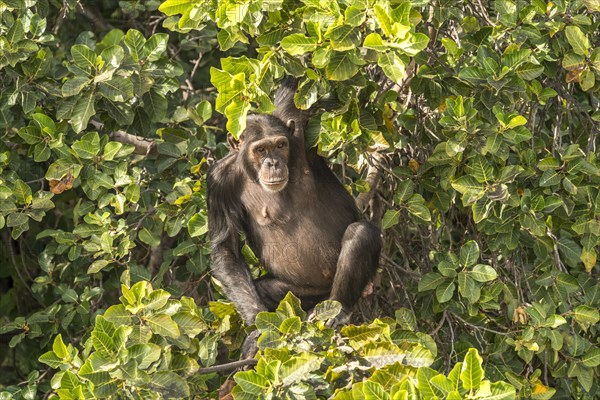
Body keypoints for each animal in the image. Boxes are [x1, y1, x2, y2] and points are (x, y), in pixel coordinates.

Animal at [209, 79, 382, 342]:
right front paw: (257, 324)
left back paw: (338, 311)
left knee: (360, 234)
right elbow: (226, 247)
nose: (273, 162)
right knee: (263, 289)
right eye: (260, 150)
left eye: (280, 145)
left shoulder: (298, 131)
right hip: (301, 294)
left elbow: (295, 94)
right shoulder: (218, 182)